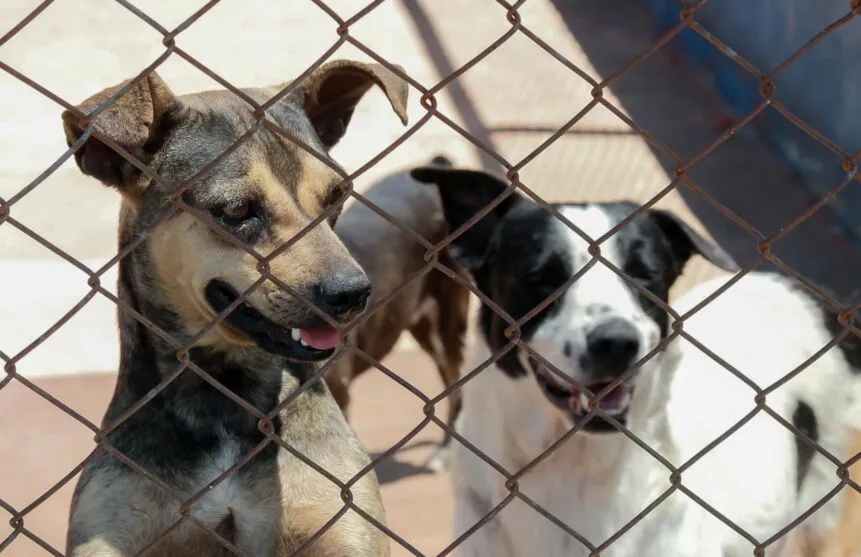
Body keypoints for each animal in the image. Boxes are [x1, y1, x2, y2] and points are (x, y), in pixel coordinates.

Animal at [61, 60, 410, 556]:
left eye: (337, 194)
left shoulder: (345, 527)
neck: (225, 392)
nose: (353, 293)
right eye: (237, 210)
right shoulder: (107, 529)